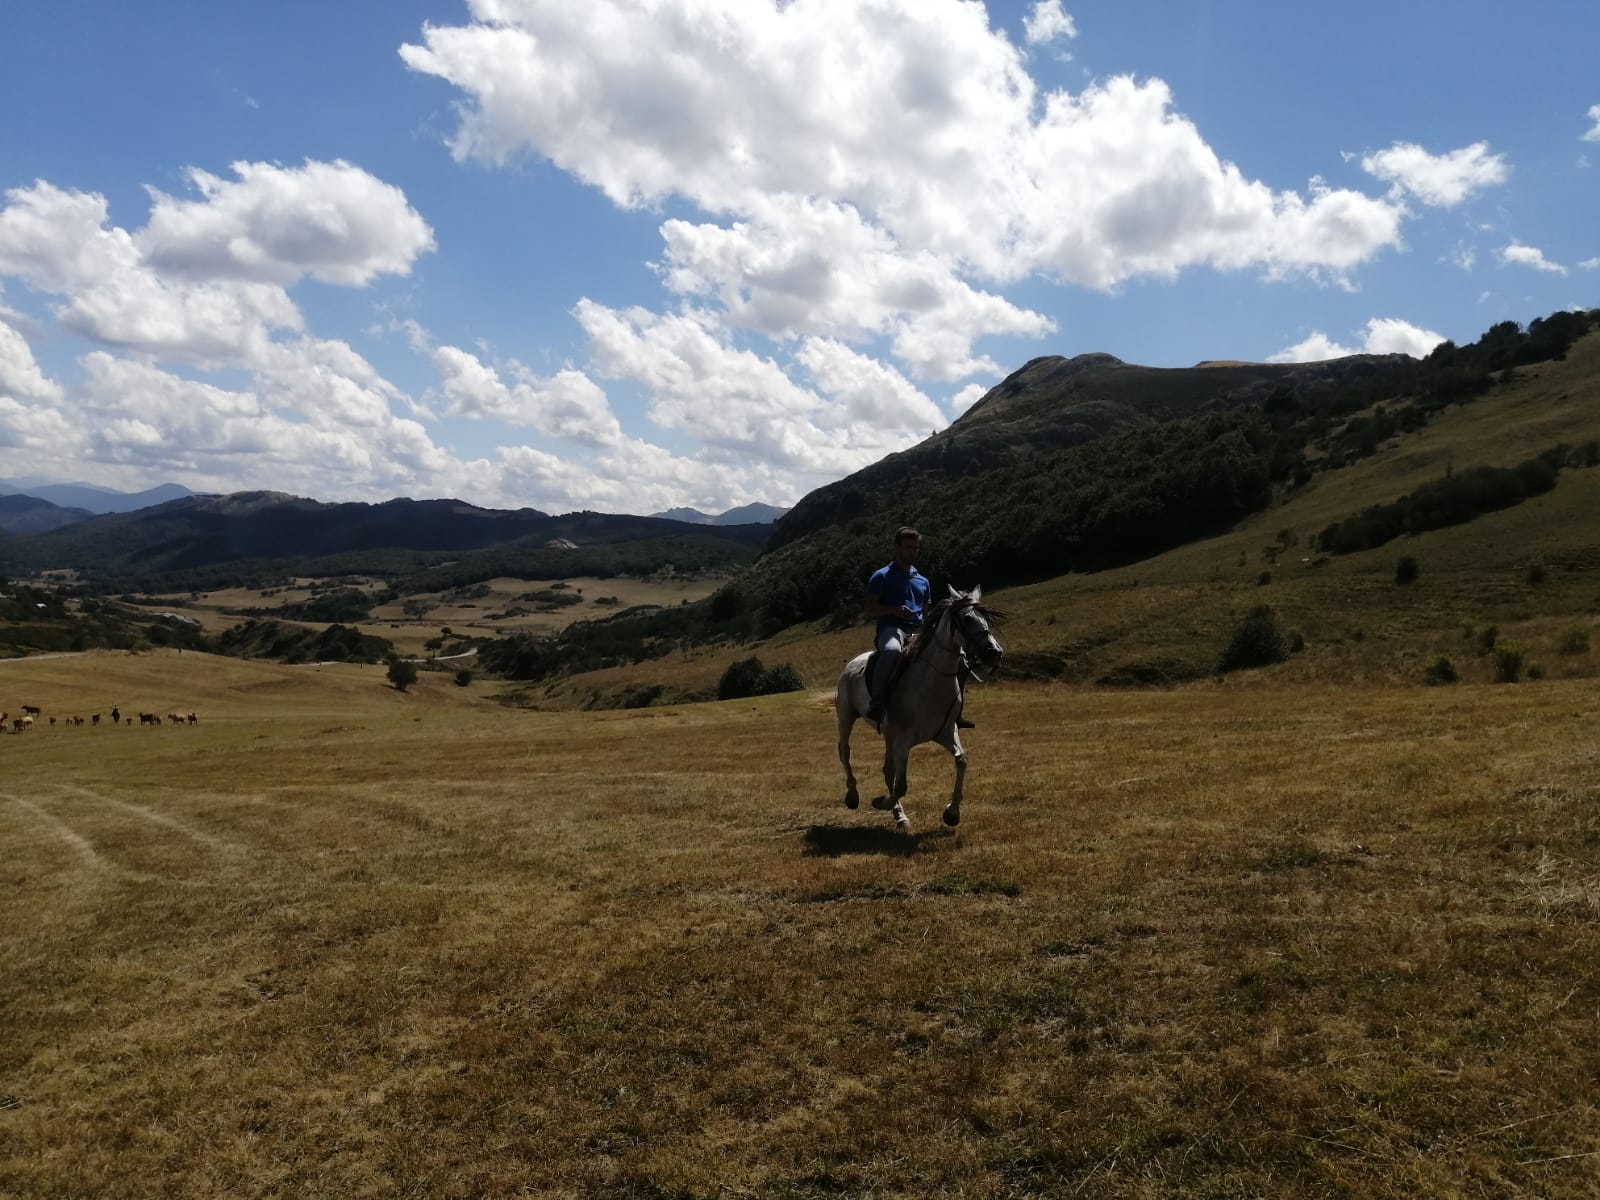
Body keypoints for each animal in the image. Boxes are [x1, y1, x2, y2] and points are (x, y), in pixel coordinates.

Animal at [832, 588, 1004, 832]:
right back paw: (853, 796)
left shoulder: (945, 732)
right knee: (844, 751)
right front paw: (881, 802)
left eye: (986, 619)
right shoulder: (904, 741)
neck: (930, 682)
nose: (994, 652)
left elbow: (961, 760)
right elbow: (901, 786)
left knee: (887, 770)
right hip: (847, 717)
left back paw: (900, 815)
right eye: (967, 619)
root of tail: (853, 663)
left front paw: (951, 813)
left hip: (888, 734)